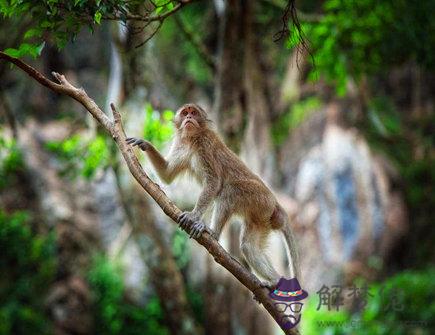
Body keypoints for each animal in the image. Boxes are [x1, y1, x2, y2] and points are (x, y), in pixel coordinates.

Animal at [127, 103, 300, 288]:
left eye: (193, 112)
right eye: (185, 113)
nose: (189, 118)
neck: (192, 139)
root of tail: (275, 204)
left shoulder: (205, 146)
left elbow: (214, 182)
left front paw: (194, 215)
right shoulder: (181, 145)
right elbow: (167, 174)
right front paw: (145, 144)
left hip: (260, 199)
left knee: (229, 191)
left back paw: (213, 233)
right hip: (261, 217)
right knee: (248, 246)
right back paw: (275, 280)